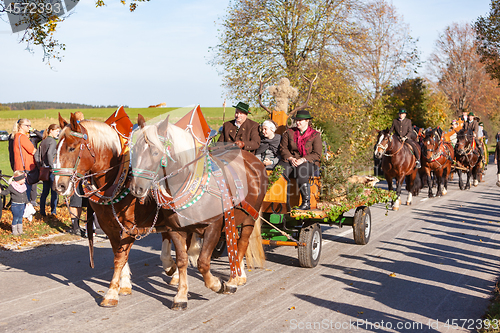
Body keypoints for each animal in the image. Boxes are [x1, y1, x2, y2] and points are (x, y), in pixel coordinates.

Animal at [54, 113, 191, 308]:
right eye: (56, 149)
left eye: (72, 148)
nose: (59, 186)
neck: (116, 178)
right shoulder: (109, 225)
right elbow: (118, 253)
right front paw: (124, 284)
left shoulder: (130, 226)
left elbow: (120, 256)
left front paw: (111, 292)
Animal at [131, 115, 268, 306]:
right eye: (134, 150)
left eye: (155, 153)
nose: (137, 188)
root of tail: (253, 161)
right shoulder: (176, 229)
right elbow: (182, 260)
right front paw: (181, 295)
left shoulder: (213, 227)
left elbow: (203, 262)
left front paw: (217, 284)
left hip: (249, 218)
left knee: (241, 244)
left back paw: (234, 279)